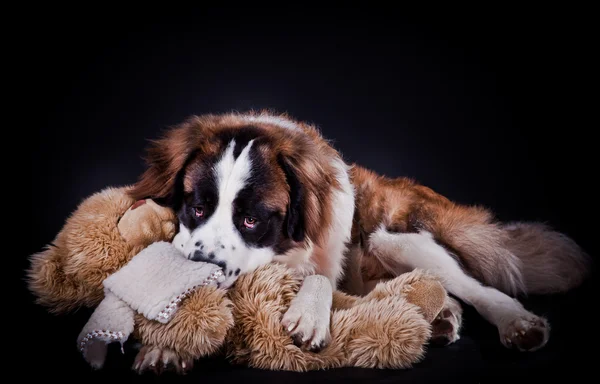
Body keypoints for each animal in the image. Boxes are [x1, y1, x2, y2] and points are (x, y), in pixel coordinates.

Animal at [127, 111, 592, 372]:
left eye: (250, 220)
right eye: (197, 208)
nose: (204, 266)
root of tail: (397, 183)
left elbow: (318, 278)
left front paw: (309, 314)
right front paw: (166, 345)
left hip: (396, 239)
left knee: (477, 288)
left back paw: (516, 323)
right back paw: (442, 318)